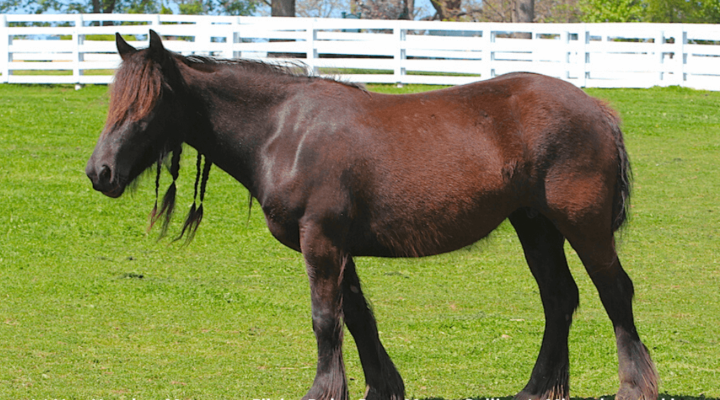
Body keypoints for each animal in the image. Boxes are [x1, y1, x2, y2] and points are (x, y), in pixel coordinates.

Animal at [86, 30, 658, 400]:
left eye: (148, 105)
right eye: (115, 100)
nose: (100, 172)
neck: (283, 131)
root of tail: (597, 108)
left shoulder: (320, 240)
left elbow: (326, 318)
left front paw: (324, 390)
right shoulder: (338, 246)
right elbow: (358, 317)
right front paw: (383, 387)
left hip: (581, 225)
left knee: (615, 293)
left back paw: (634, 386)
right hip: (535, 226)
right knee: (559, 299)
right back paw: (536, 389)